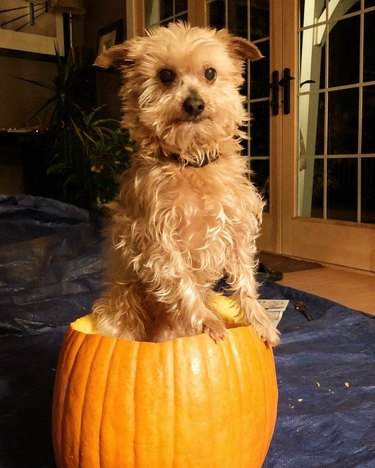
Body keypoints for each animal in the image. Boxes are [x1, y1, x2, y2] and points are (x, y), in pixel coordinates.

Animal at [92, 22, 280, 346]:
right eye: (165, 75)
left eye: (210, 73)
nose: (194, 104)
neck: (192, 162)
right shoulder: (159, 240)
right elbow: (181, 279)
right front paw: (207, 321)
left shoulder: (237, 229)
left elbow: (244, 279)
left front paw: (260, 321)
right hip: (123, 308)